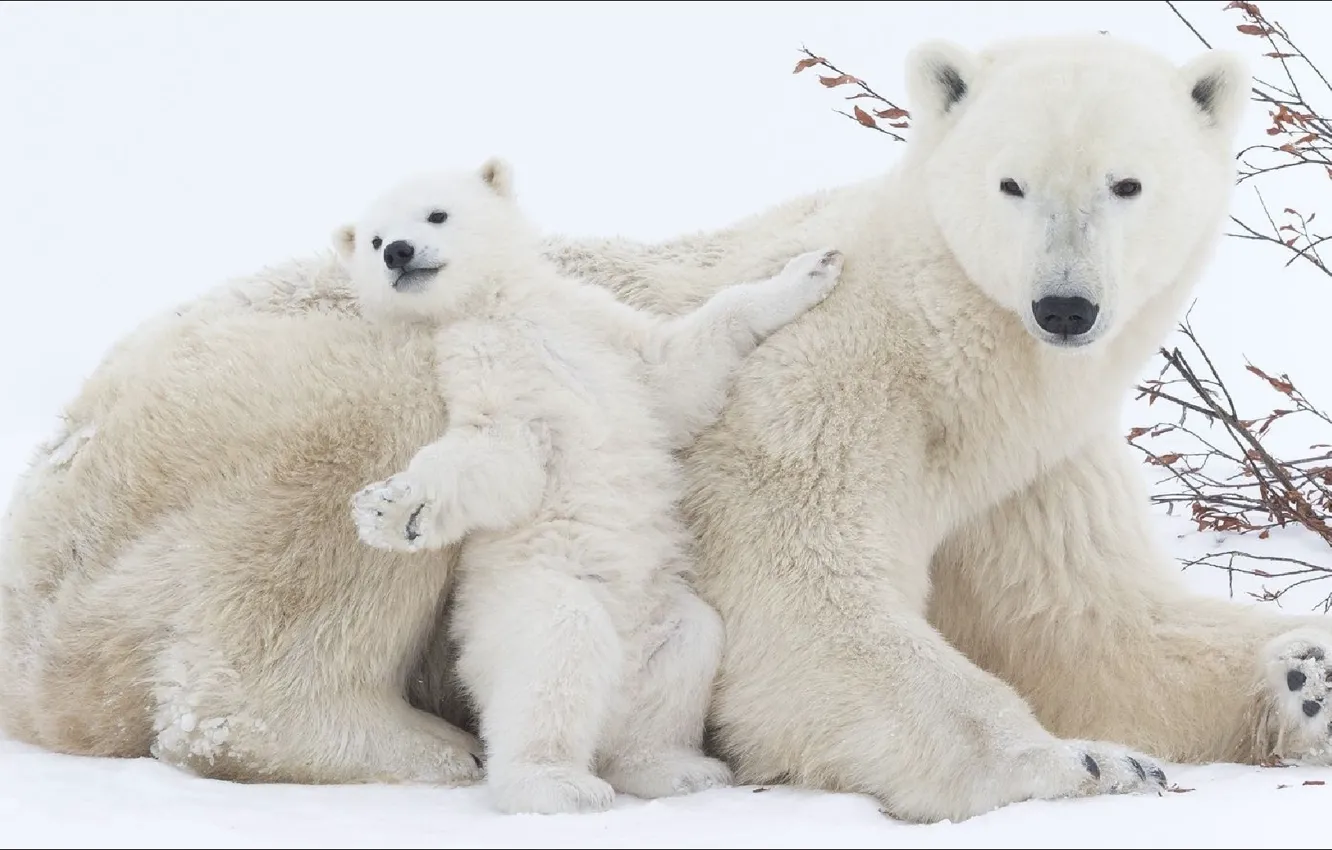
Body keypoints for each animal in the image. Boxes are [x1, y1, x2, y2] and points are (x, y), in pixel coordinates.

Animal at [332, 158, 843, 813]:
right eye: (372, 240)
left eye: (436, 214)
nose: (398, 252)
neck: (504, 309)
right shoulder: (477, 364)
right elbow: (501, 453)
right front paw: (395, 510)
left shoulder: (596, 325)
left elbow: (674, 369)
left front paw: (812, 267)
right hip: (525, 602)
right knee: (556, 655)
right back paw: (559, 784)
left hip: (659, 619)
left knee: (686, 649)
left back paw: (677, 769)